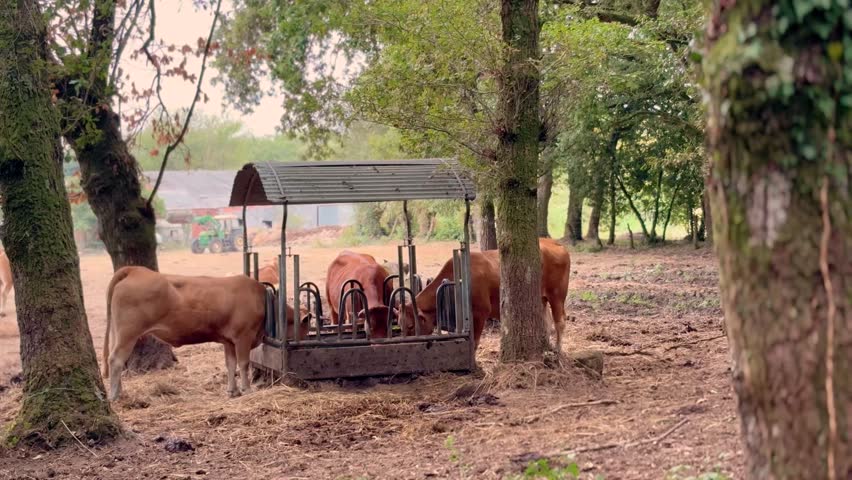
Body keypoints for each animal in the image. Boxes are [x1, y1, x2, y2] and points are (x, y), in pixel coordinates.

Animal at [103, 266, 310, 401]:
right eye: (306, 329)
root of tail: (136, 270)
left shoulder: (228, 341)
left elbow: (230, 364)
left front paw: (232, 391)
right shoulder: (243, 337)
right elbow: (243, 364)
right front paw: (246, 389)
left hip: (119, 333)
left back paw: (120, 392)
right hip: (128, 333)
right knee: (115, 360)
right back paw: (114, 395)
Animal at [406, 238, 571, 352]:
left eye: (411, 325)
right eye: (401, 325)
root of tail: (553, 242)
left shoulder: (481, 312)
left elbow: (474, 342)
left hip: (557, 295)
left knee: (560, 322)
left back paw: (558, 350)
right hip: (542, 298)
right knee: (547, 321)